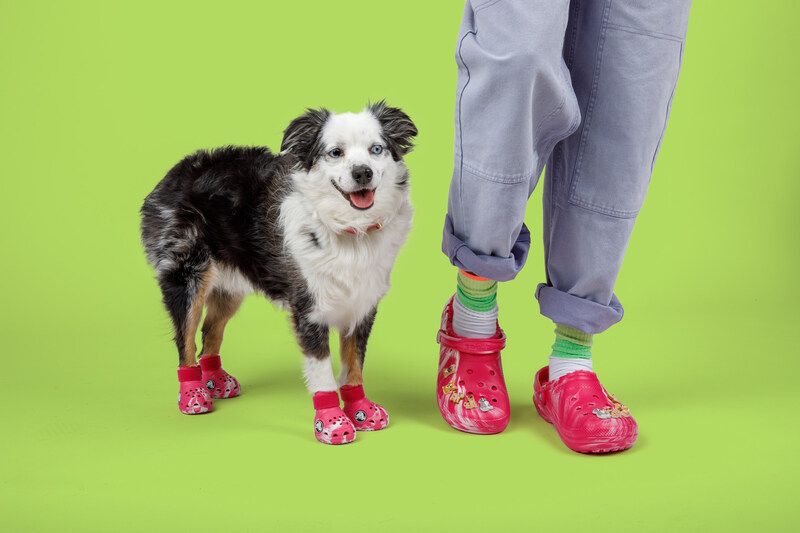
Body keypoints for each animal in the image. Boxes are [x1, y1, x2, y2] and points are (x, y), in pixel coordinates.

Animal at [142, 102, 418, 442]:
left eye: (376, 149)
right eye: (335, 152)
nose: (362, 172)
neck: (350, 231)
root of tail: (175, 172)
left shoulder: (361, 304)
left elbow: (354, 363)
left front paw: (360, 408)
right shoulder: (309, 309)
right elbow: (322, 370)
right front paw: (331, 421)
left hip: (230, 285)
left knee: (210, 330)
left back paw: (215, 381)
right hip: (188, 277)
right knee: (187, 338)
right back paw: (193, 394)